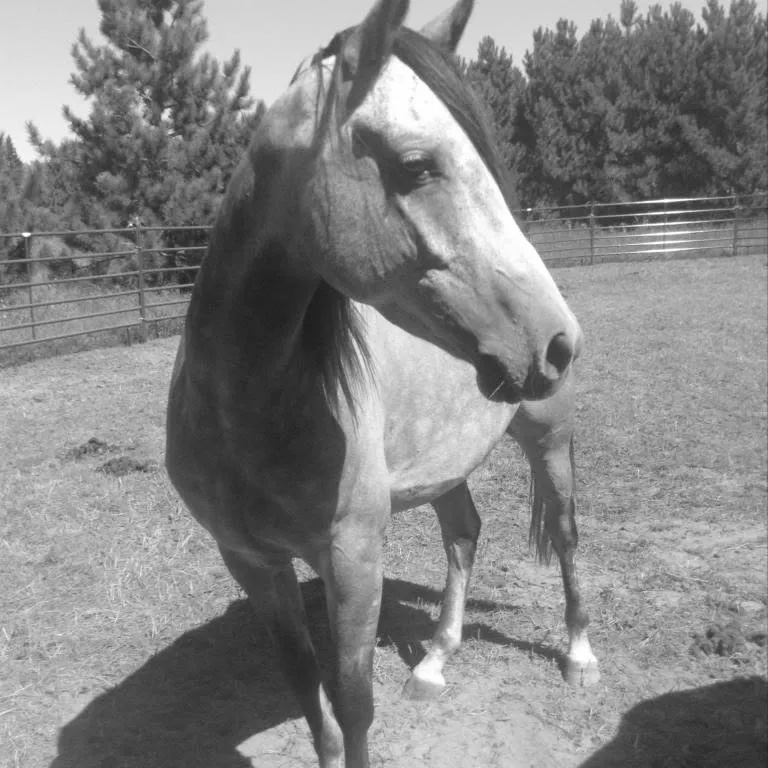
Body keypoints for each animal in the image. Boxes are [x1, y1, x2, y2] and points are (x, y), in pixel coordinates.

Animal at [166, 1, 599, 765]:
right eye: (417, 164)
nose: (558, 342)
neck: (243, 413)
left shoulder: (354, 560)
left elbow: (353, 703)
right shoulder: (252, 563)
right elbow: (309, 695)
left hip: (548, 436)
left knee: (566, 532)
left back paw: (577, 655)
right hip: (445, 463)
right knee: (464, 534)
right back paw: (435, 661)